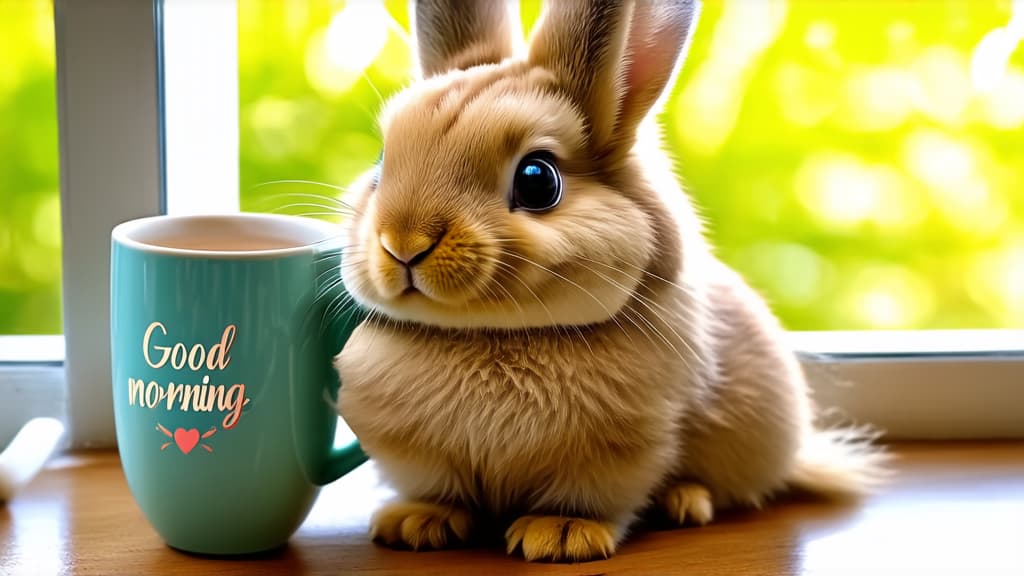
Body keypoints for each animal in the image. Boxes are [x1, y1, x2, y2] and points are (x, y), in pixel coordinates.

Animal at [333, 0, 888, 561]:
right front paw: (416, 524)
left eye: (538, 180)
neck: (496, 333)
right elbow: (440, 492)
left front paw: (559, 536)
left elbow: (590, 498)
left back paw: (683, 502)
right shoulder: (421, 458)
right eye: (380, 164)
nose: (403, 243)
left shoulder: (619, 452)